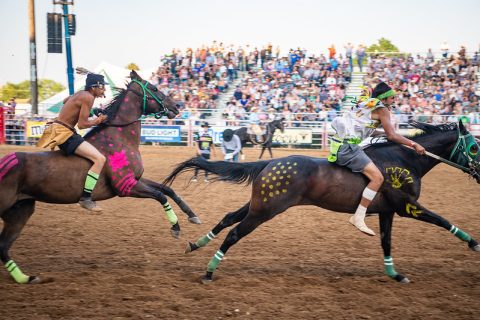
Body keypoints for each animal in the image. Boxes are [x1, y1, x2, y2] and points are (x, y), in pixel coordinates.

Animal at [165, 121, 480, 284]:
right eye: (475, 147)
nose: (479, 171)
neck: (404, 159)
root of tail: (270, 163)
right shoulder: (407, 207)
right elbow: (443, 220)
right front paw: (473, 242)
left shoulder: (387, 211)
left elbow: (386, 242)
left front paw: (394, 273)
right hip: (265, 210)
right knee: (234, 232)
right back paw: (209, 271)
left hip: (259, 204)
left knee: (228, 217)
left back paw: (196, 244)